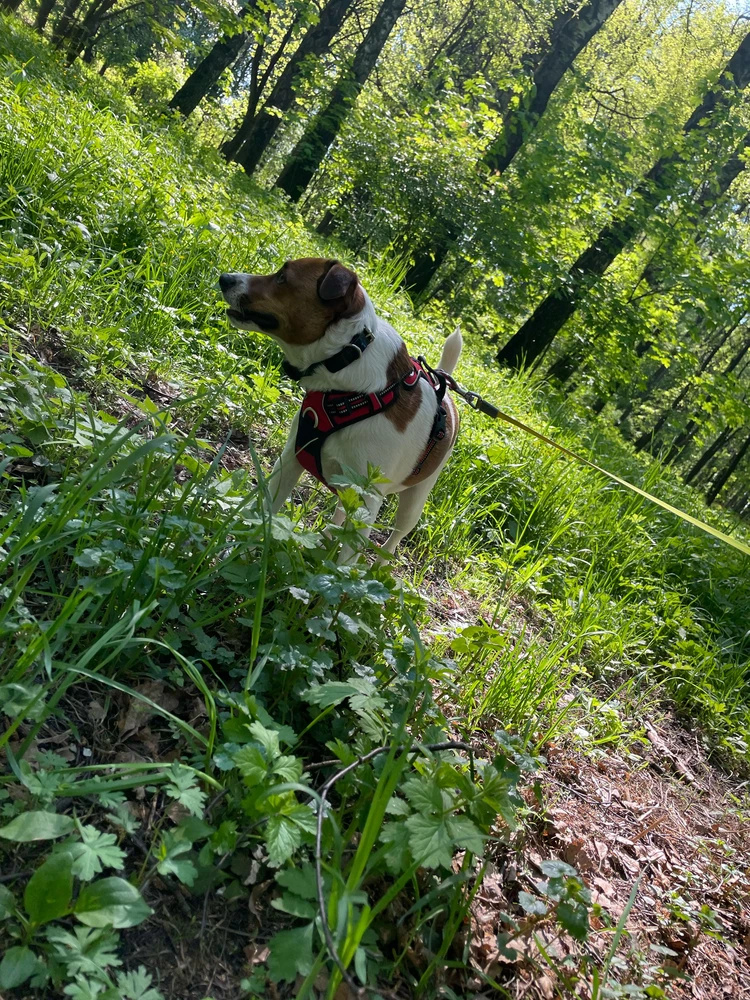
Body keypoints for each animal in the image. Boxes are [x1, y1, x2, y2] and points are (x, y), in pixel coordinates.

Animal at [219, 258, 464, 556]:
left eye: (281, 278)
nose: (224, 278)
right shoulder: (291, 459)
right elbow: (266, 511)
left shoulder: (369, 501)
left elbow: (343, 560)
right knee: (341, 513)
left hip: (413, 501)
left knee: (393, 539)